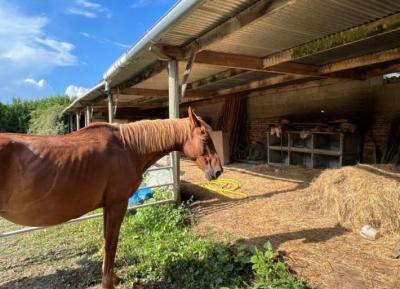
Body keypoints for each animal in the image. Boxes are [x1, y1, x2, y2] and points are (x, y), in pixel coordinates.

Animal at [0, 107, 222, 286]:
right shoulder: (117, 204)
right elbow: (111, 243)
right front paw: (108, 283)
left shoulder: (108, 206)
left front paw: (113, 277)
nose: (218, 171)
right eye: (205, 139)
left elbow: (107, 240)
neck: (127, 147)